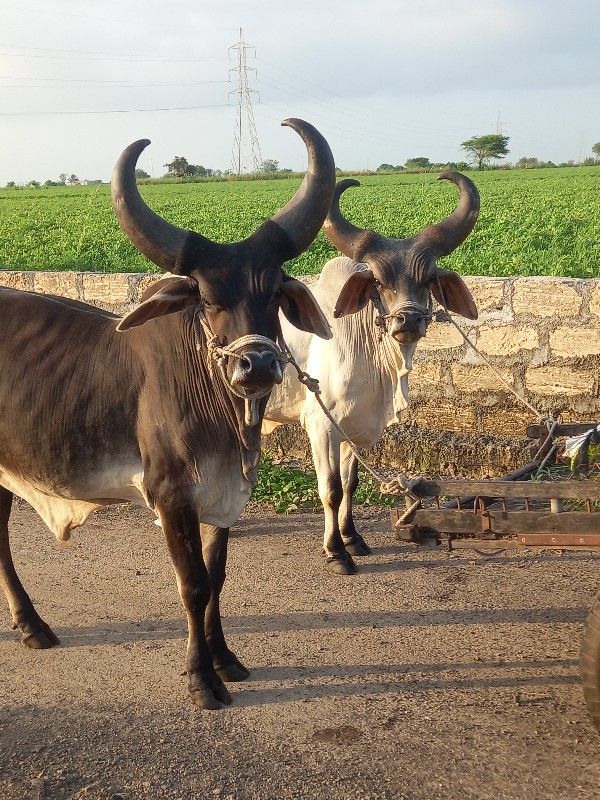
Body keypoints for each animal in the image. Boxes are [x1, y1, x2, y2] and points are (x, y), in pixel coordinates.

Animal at [0, 117, 338, 708]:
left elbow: (217, 576)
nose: (257, 365)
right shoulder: (171, 494)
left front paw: (225, 660)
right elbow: (193, 584)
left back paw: (32, 625)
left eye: (274, 292)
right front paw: (201, 678)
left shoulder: (223, 496)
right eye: (206, 297)